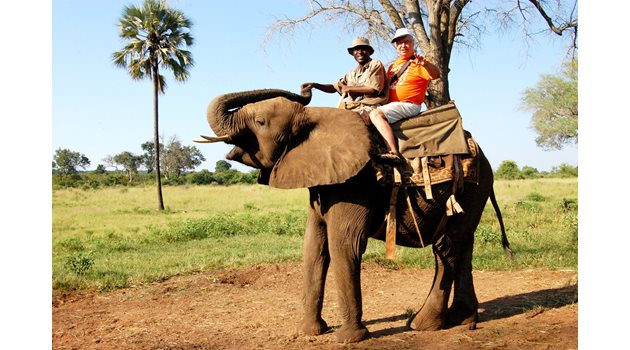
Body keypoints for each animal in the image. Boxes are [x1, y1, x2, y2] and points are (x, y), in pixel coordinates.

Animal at [198, 87, 512, 342]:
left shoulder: (356, 183)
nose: (305, 88)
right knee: (463, 244)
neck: (313, 116)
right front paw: (310, 332)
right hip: (475, 192)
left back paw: (423, 324)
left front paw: (349, 338)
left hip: (471, 188)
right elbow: (314, 247)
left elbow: (344, 244)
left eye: (260, 122)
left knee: (446, 248)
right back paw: (463, 319)